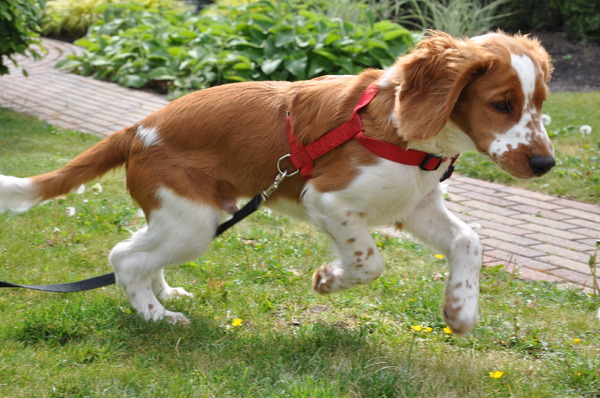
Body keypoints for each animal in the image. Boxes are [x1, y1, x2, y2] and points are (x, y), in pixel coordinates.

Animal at [0, 31, 552, 334]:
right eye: (502, 104)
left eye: (540, 103)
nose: (545, 164)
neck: (409, 135)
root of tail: (137, 127)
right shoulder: (329, 198)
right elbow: (369, 261)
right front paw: (329, 279)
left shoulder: (414, 205)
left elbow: (469, 240)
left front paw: (460, 309)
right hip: (194, 221)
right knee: (124, 258)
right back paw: (157, 316)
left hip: (183, 214)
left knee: (137, 251)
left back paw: (166, 294)